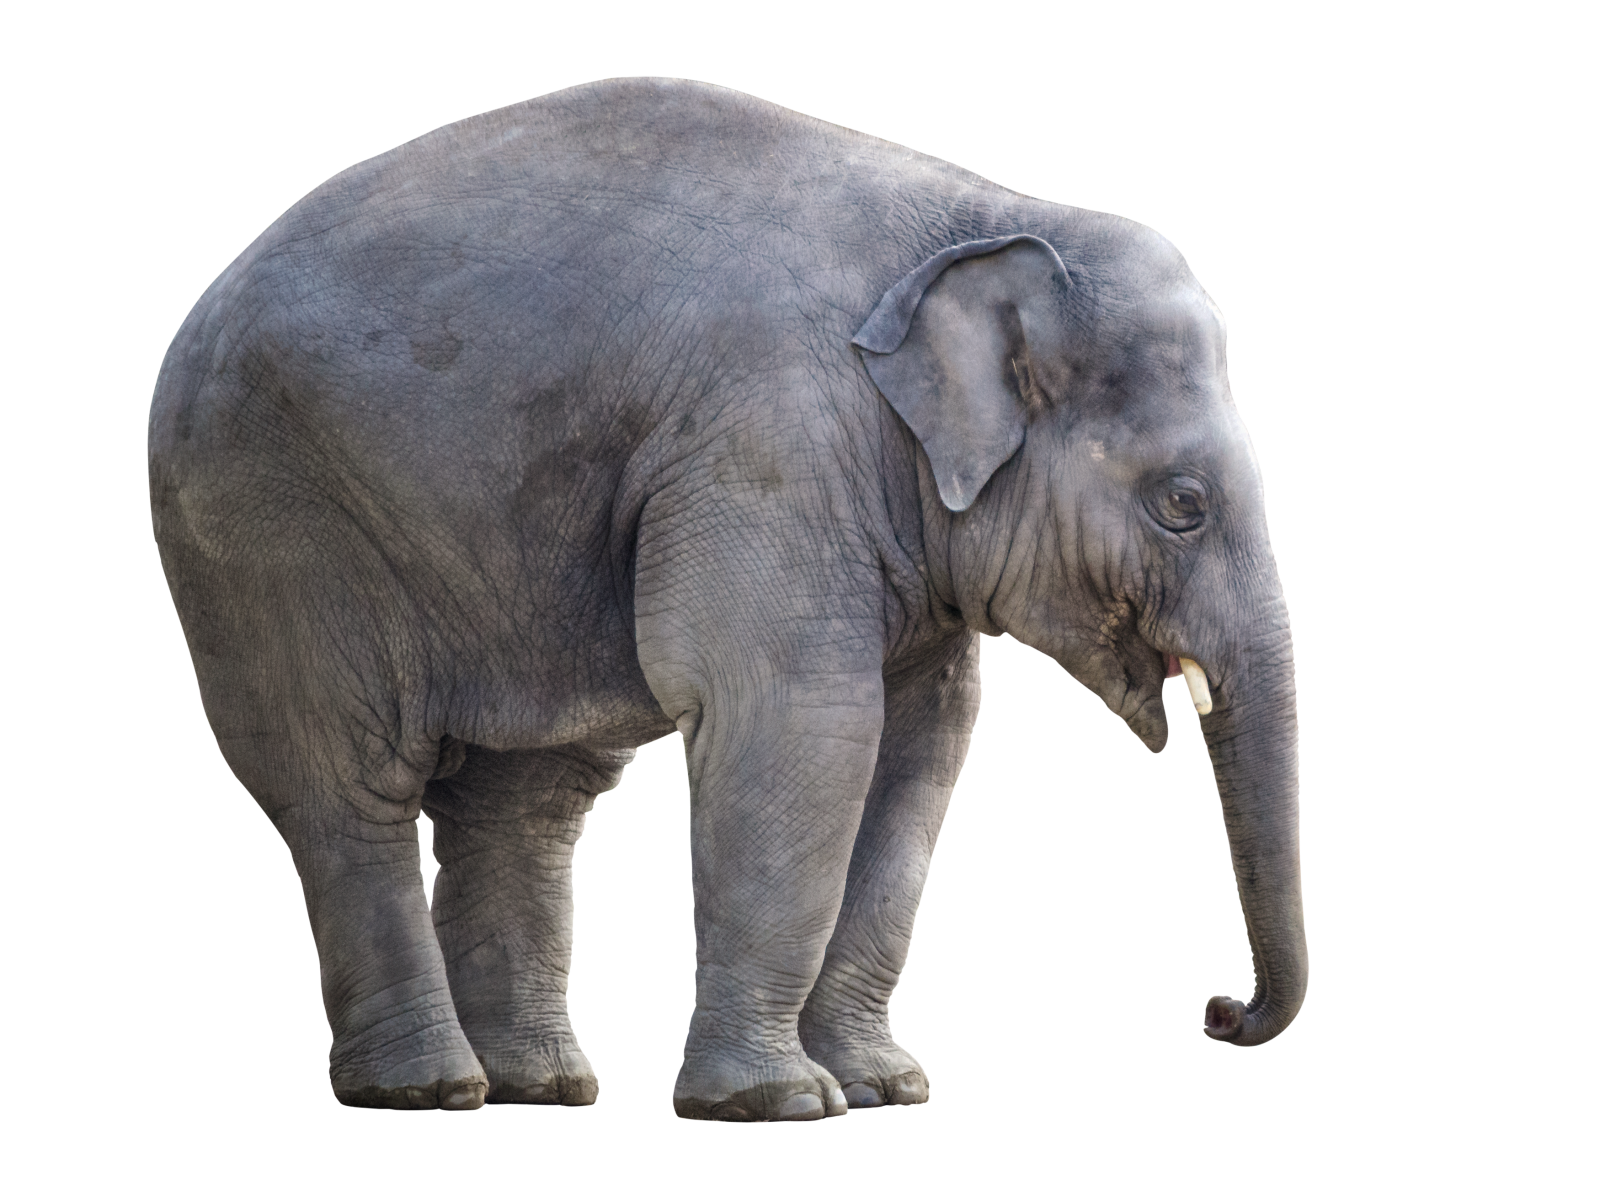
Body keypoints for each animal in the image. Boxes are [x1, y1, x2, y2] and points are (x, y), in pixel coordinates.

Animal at [148, 76, 1305, 1119]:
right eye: (1183, 504)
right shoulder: (767, 442)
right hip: (266, 525)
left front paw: (883, 1089)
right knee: (347, 787)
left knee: (528, 796)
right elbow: (803, 721)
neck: (990, 220)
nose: (1218, 1011)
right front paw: (779, 1103)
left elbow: (922, 748)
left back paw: (538, 1087)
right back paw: (425, 1089)